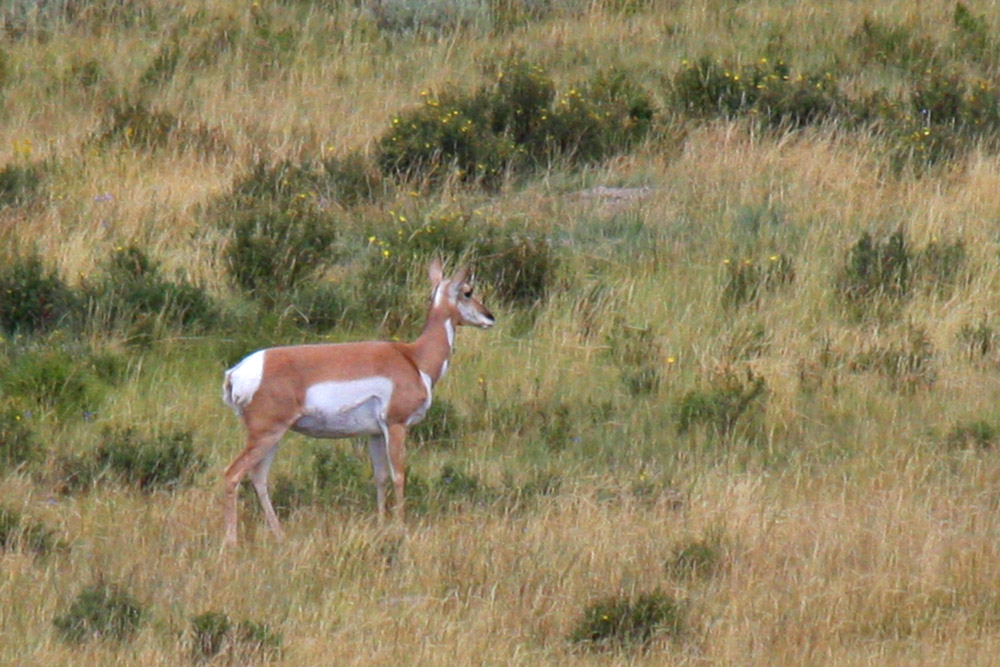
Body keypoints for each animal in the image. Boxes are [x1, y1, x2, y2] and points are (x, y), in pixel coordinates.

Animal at [223, 258, 496, 544]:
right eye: (468, 291)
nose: (490, 317)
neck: (413, 358)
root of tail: (236, 371)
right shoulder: (396, 425)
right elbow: (399, 475)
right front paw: (400, 528)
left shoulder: (375, 433)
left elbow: (381, 477)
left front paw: (381, 524)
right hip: (266, 434)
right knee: (232, 474)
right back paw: (231, 541)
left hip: (272, 436)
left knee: (258, 477)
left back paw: (280, 535)